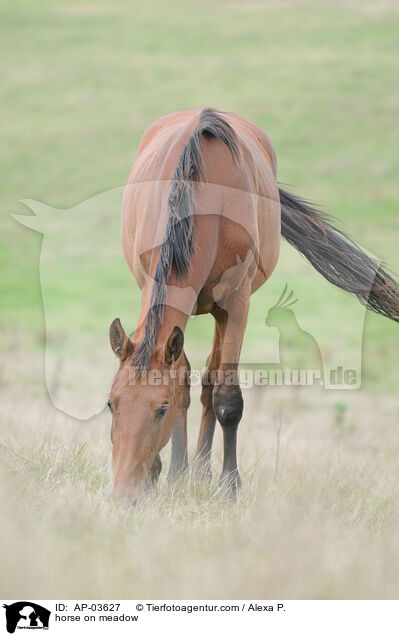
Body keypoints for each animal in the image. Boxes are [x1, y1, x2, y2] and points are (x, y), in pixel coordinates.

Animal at [107, 107, 399, 500]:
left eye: (160, 410)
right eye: (111, 404)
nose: (124, 492)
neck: (201, 202)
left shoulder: (236, 304)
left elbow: (227, 398)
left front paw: (229, 486)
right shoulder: (156, 293)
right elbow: (180, 380)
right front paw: (170, 473)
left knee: (212, 380)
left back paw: (203, 470)